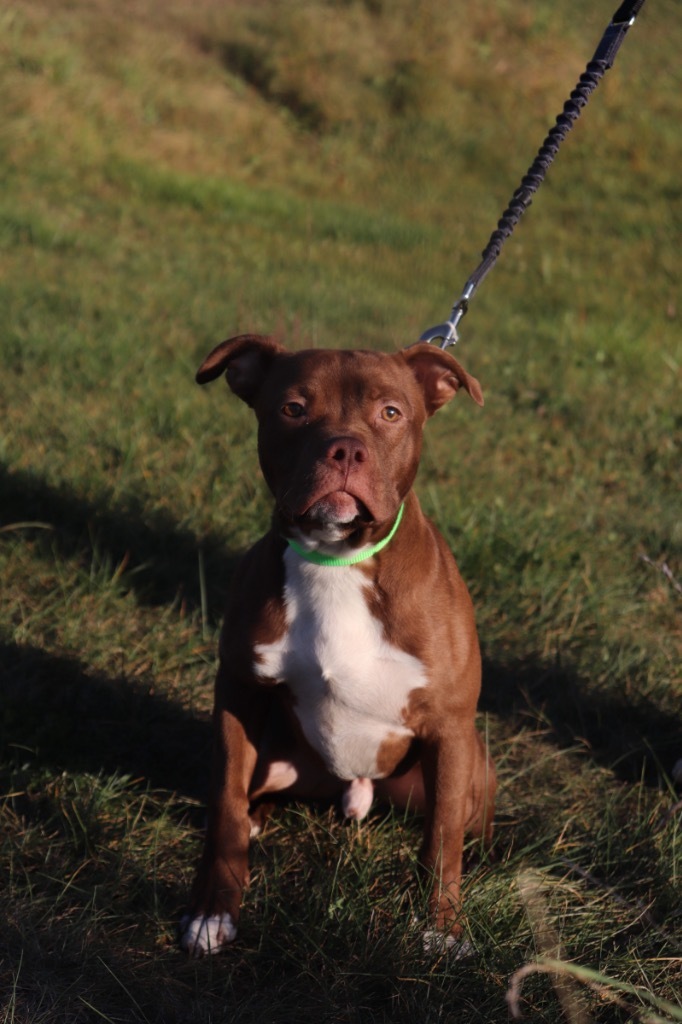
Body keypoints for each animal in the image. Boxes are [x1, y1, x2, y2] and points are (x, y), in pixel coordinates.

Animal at [180, 339, 493, 954]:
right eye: (293, 409)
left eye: (391, 413)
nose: (346, 448)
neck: (336, 559)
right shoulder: (239, 690)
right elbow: (225, 805)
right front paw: (214, 911)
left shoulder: (449, 727)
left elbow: (441, 839)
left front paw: (440, 928)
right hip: (279, 754)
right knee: (254, 795)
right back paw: (259, 818)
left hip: (471, 766)